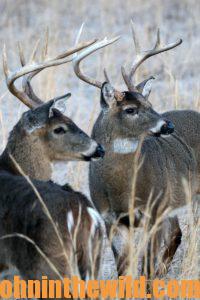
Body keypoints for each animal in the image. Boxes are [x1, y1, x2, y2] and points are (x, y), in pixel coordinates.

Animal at [72, 24, 199, 280]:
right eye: (130, 109)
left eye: (150, 104)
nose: (168, 126)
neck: (124, 190)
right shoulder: (112, 219)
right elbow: (123, 269)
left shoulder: (154, 211)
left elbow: (146, 265)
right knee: (177, 233)